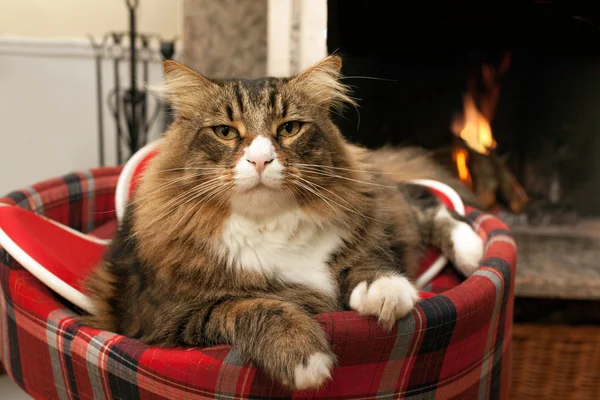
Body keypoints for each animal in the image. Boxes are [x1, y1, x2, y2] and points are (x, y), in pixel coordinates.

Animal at [83, 56, 482, 390]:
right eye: (225, 132)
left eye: (289, 128)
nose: (260, 160)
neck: (269, 225)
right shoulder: (165, 321)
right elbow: (251, 306)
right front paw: (305, 357)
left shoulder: (365, 231)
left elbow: (368, 258)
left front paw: (384, 292)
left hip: (380, 196)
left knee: (425, 196)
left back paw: (473, 253)